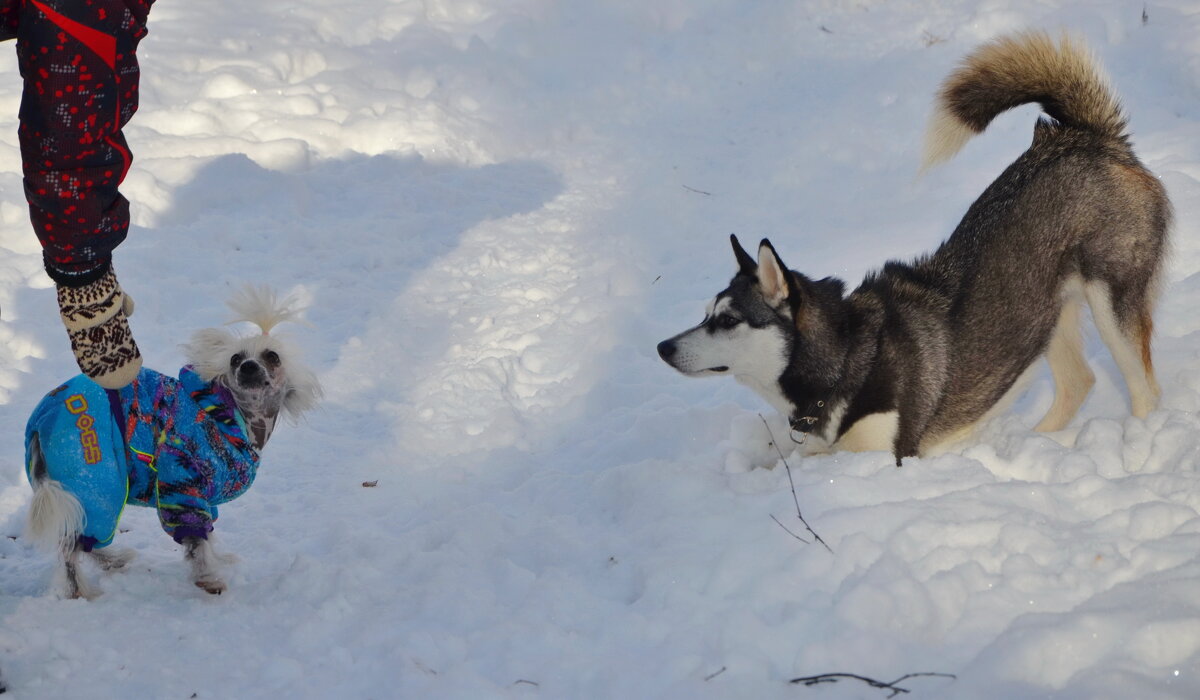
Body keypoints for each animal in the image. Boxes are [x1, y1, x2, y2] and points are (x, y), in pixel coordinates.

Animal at [25, 288, 321, 600]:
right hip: (94, 476)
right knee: (71, 545)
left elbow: (208, 534)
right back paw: (79, 591)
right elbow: (195, 537)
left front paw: (218, 560)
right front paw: (208, 578)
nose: (248, 366)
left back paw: (114, 561)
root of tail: (41, 419)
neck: (229, 414)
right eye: (236, 358)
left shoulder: (204, 494)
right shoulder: (180, 480)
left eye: (272, 356)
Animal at [657, 34, 1171, 470]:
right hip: (1045, 316)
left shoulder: (885, 456)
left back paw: (1140, 443)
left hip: (1112, 304)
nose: (663, 347)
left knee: (1146, 391)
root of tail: (1086, 137)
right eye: (705, 313)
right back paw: (1034, 441)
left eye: (728, 320)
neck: (848, 360)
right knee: (1079, 382)